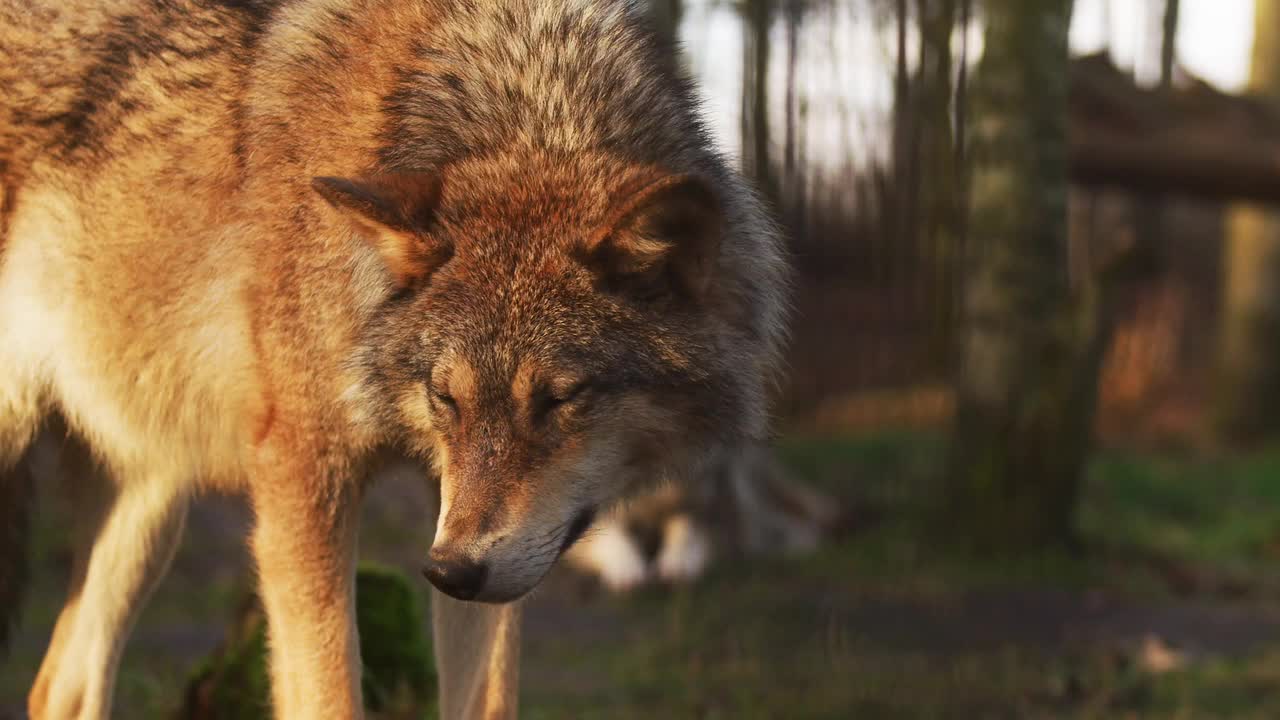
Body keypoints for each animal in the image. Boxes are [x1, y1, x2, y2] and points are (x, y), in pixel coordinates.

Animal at [0, 0, 788, 717]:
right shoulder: (302, 475)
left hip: (151, 503)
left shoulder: (479, 538)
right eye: (446, 396)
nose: (450, 572)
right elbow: (328, 695)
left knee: (59, 688)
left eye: (560, 398)